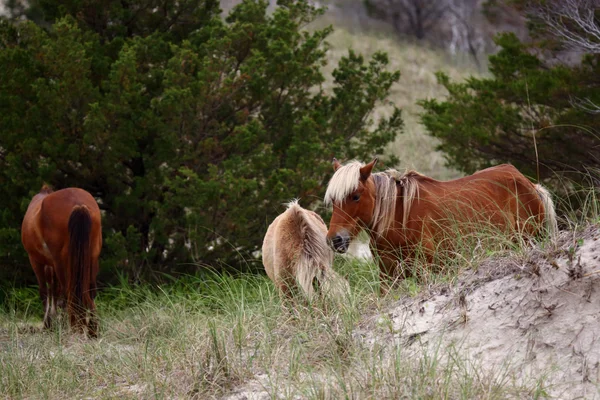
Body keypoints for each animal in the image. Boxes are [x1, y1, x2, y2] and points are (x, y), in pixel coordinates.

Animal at [21, 186, 102, 336]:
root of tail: (78, 204)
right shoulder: (51, 264)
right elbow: (54, 290)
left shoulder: (36, 261)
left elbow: (45, 292)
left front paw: (49, 323)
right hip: (92, 258)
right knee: (90, 290)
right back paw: (91, 329)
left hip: (61, 262)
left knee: (67, 292)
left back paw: (74, 326)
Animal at [324, 159, 556, 284]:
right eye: (333, 200)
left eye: (355, 196)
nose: (335, 240)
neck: (399, 219)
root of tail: (528, 183)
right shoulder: (388, 276)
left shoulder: (426, 271)